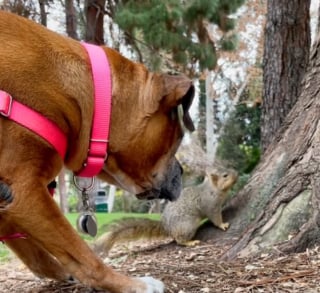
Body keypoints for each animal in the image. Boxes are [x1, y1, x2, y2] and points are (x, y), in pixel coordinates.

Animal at [0, 10, 195, 292]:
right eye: (179, 138)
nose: (182, 172)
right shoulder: (26, 191)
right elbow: (82, 253)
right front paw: (131, 284)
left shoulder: (12, 198)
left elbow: (36, 254)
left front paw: (60, 271)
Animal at [92, 165, 238, 252]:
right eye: (225, 175)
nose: (236, 172)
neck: (212, 189)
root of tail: (167, 227)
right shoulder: (210, 205)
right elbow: (215, 217)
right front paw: (223, 224)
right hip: (187, 225)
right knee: (179, 240)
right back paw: (190, 243)